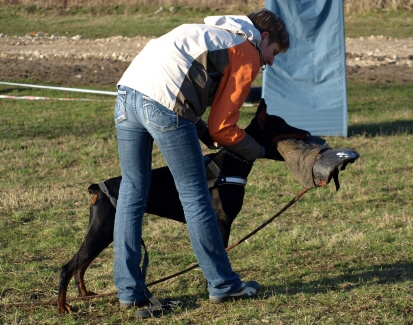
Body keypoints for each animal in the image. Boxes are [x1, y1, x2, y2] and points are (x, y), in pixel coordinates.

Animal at [57, 100, 358, 312]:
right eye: (283, 124)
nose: (307, 131)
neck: (233, 162)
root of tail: (97, 188)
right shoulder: (222, 222)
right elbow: (219, 253)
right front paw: (221, 289)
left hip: (107, 231)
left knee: (81, 265)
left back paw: (85, 295)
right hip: (102, 230)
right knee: (68, 266)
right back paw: (64, 307)